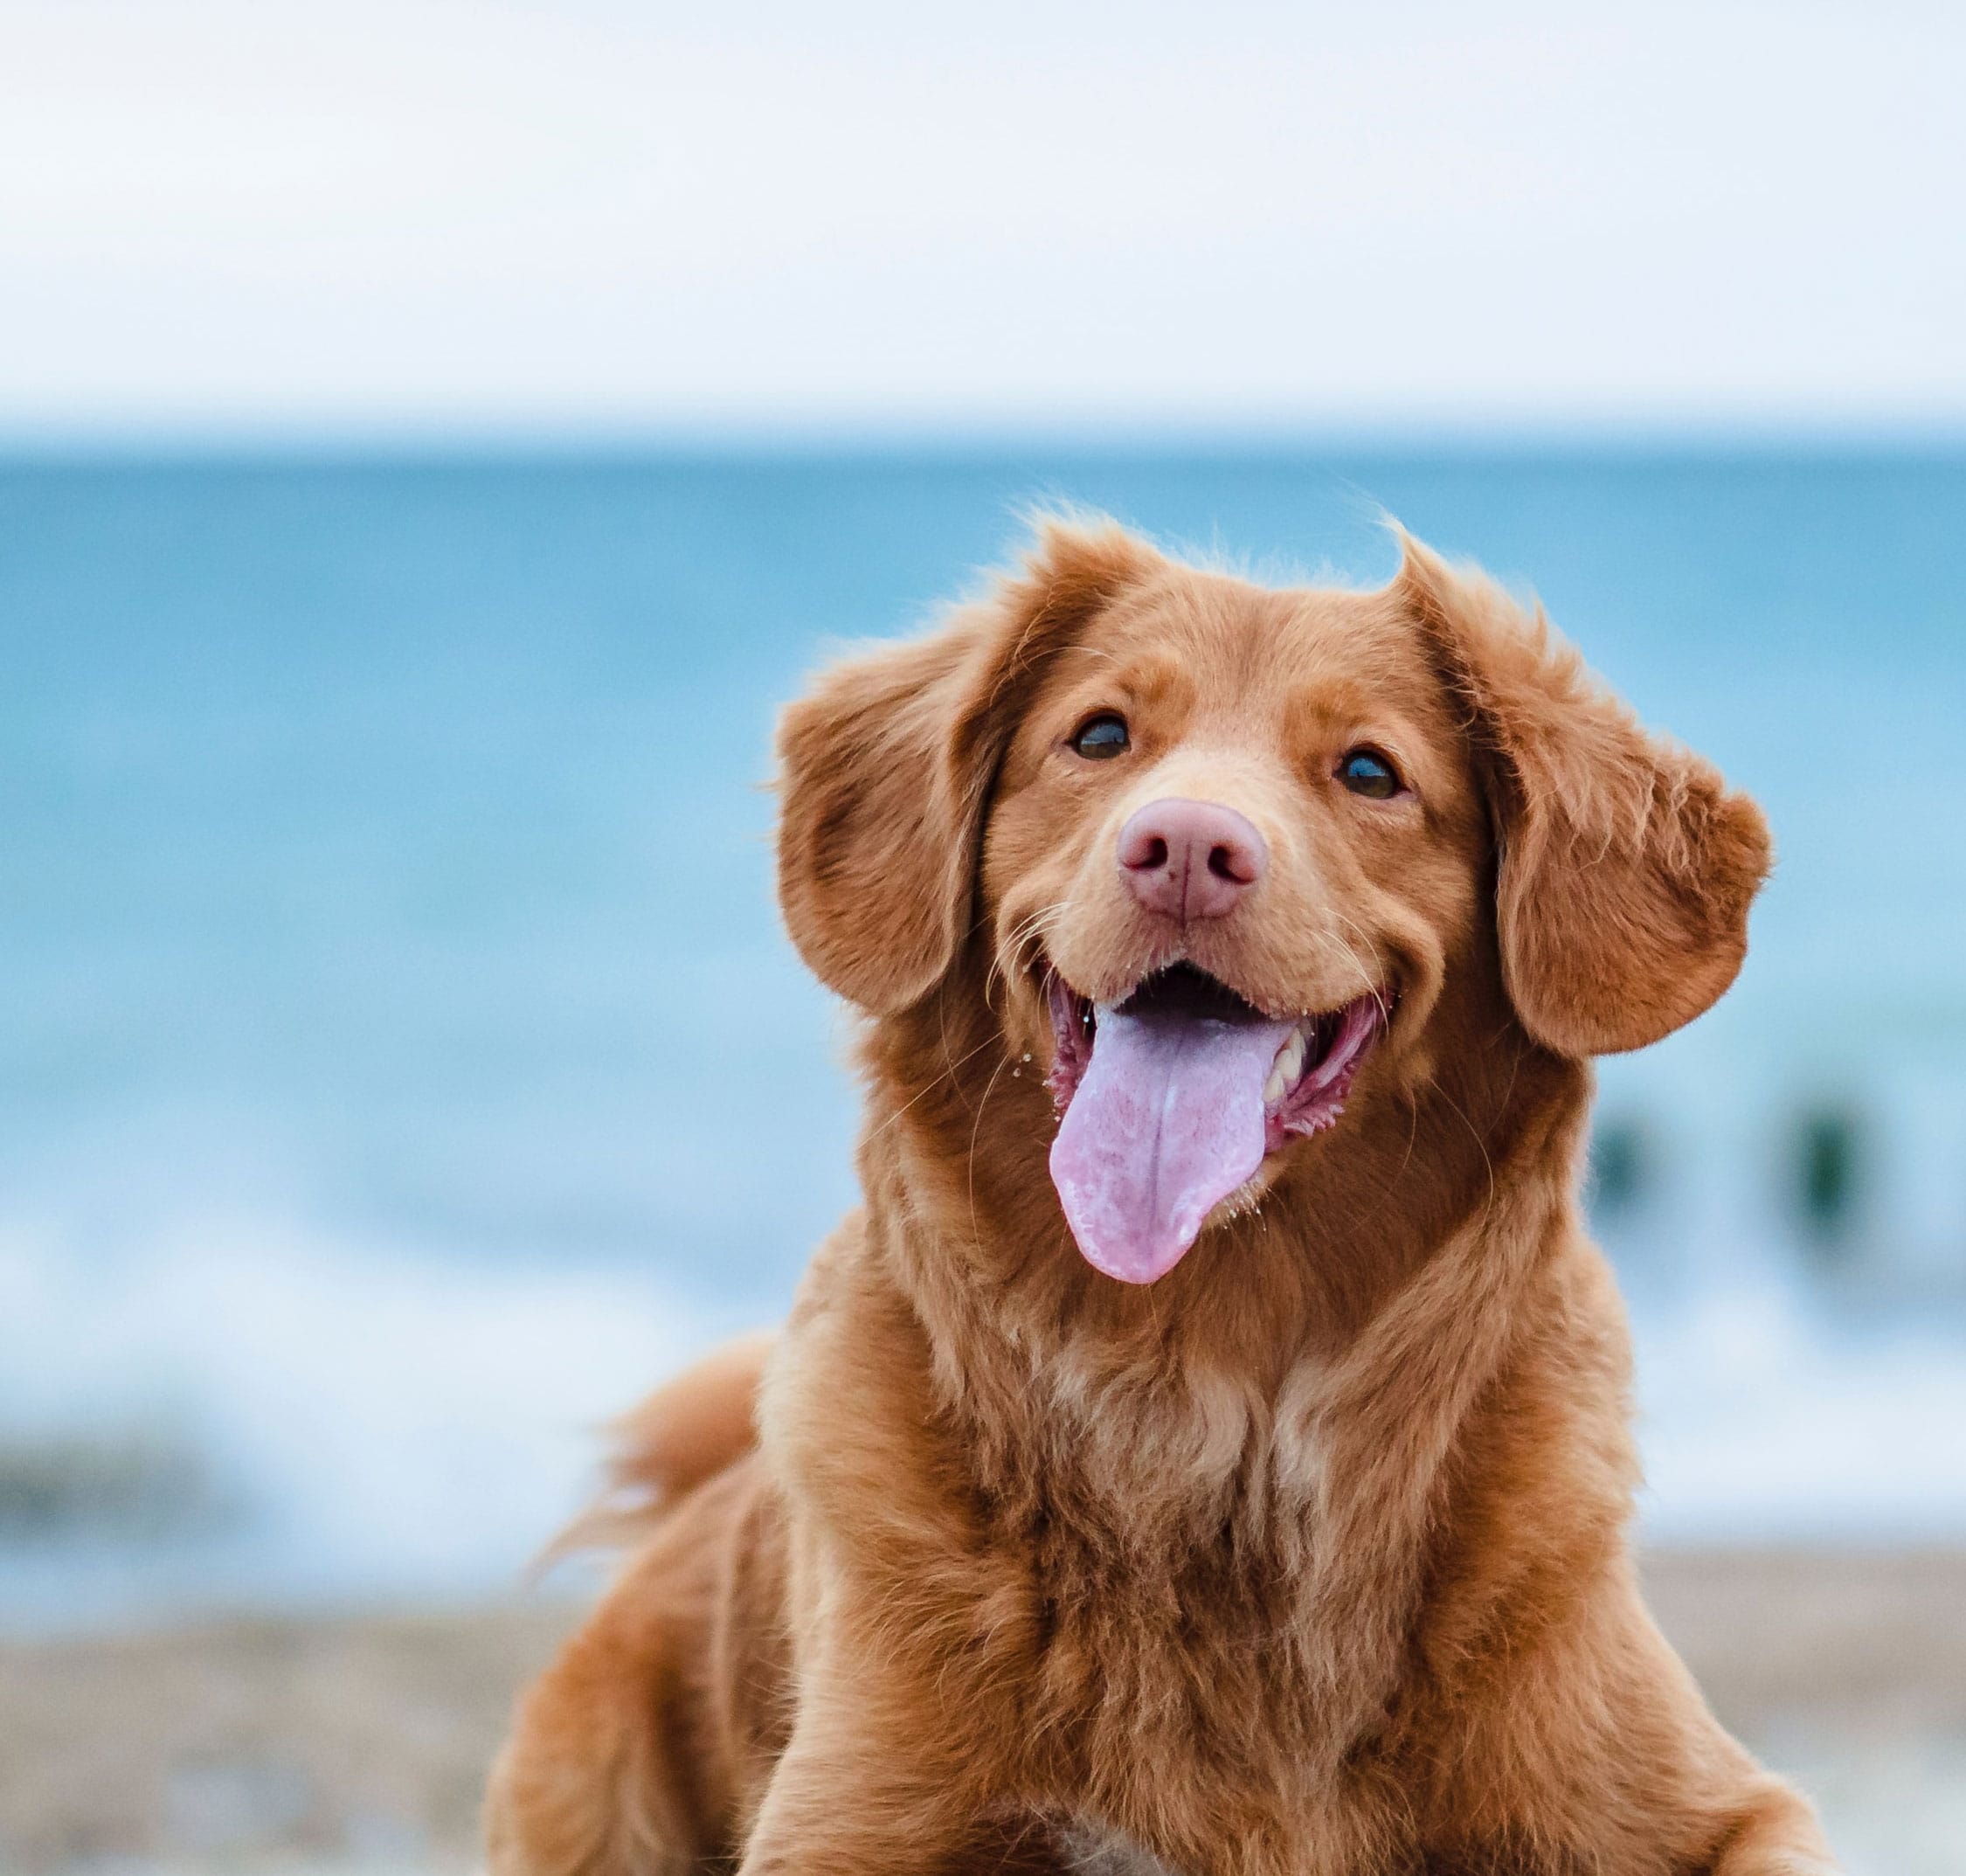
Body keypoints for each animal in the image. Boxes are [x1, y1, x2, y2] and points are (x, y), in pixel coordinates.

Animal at [483, 523, 1832, 1872]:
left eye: (1368, 770)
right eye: (1099, 736)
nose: (1185, 849)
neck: (1205, 1392)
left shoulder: (1712, 1803)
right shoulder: (848, 1822)